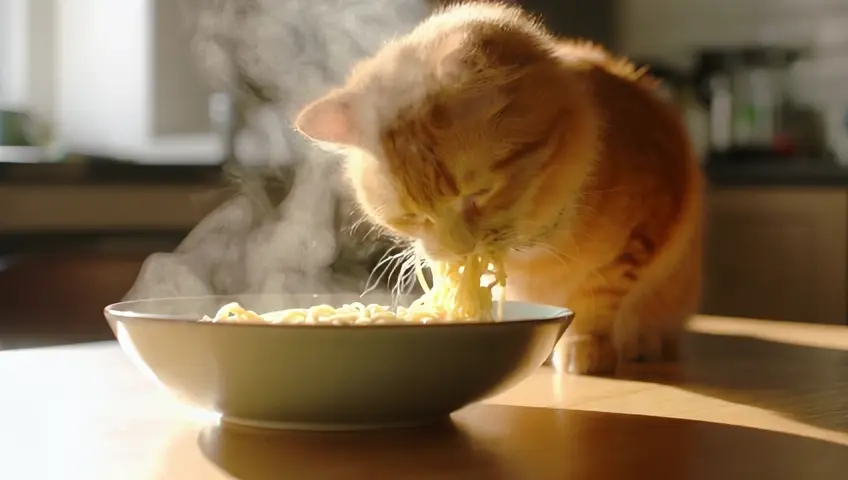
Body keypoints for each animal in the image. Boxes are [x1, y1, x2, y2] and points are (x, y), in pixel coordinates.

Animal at [292, 2, 704, 376]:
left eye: (479, 193)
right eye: (411, 215)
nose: (458, 249)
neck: (534, 252)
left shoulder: (646, 225)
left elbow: (600, 295)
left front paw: (585, 345)